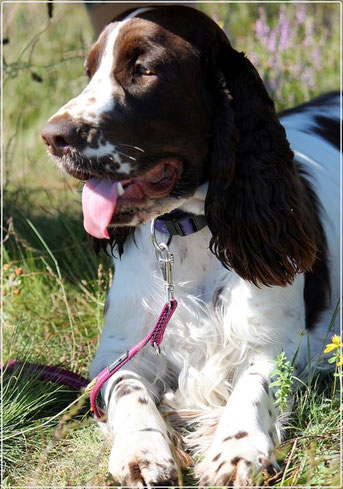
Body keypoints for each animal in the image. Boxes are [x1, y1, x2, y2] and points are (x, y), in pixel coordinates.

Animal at [41, 5, 340, 486]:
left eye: (144, 69)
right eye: (89, 73)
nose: (53, 137)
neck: (188, 233)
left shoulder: (276, 345)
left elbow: (252, 387)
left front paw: (237, 450)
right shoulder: (119, 351)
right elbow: (127, 388)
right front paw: (142, 448)